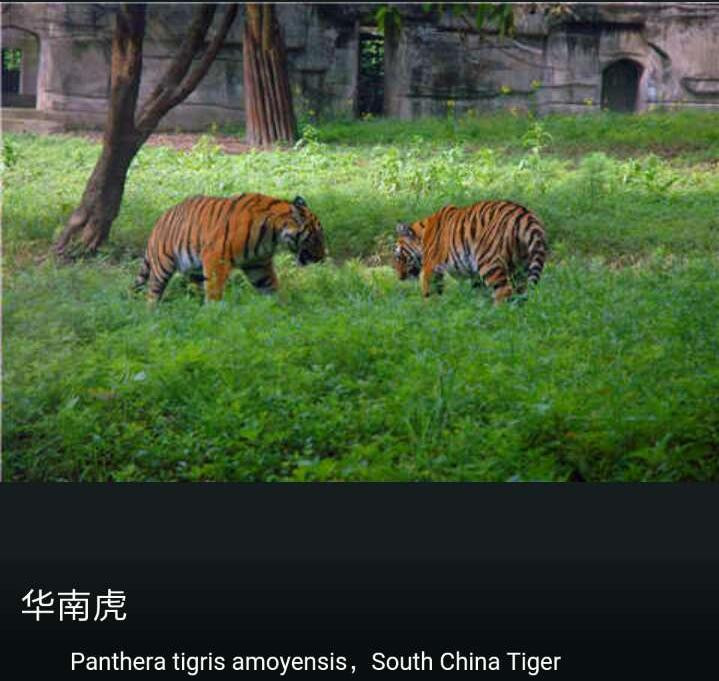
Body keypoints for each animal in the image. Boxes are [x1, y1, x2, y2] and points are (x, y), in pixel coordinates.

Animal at [134, 195, 326, 304]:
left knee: (195, 290)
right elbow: (214, 290)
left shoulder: (258, 265)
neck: (273, 234)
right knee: (152, 294)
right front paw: (214, 314)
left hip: (194, 271)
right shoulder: (215, 257)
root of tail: (159, 221)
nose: (324, 257)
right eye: (316, 237)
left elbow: (271, 288)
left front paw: (283, 310)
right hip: (163, 266)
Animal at [394, 198, 544, 302]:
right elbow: (477, 292)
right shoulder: (474, 274)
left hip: (488, 260)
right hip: (522, 265)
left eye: (399, 257)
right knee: (519, 292)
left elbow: (429, 292)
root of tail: (525, 215)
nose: (399, 277)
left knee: (504, 291)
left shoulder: (430, 268)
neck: (423, 235)